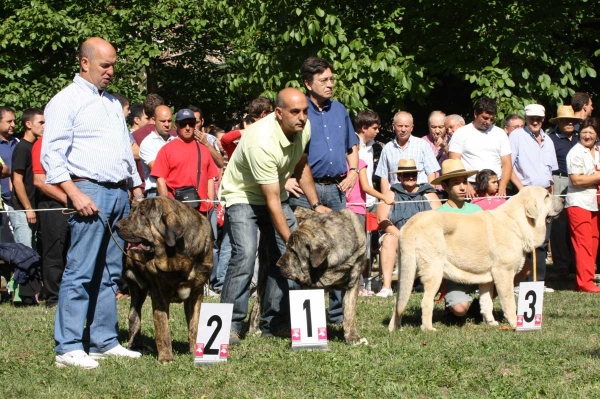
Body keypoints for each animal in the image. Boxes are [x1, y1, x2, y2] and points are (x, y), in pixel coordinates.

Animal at [115, 198, 213, 364]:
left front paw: (196, 351)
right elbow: (163, 328)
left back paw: (138, 346)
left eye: (142, 214)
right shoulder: (159, 294)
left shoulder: (196, 293)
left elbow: (195, 324)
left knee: (133, 315)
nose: (116, 225)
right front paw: (166, 358)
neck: (177, 257)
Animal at [390, 187, 564, 332]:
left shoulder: (487, 279)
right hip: (434, 272)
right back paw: (428, 329)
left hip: (406, 272)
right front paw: (515, 323)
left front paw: (491, 323)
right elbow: (508, 302)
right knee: (426, 302)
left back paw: (395, 328)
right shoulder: (504, 273)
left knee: (399, 302)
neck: (517, 222)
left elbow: (486, 302)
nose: (563, 200)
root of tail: (409, 225)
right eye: (547, 196)